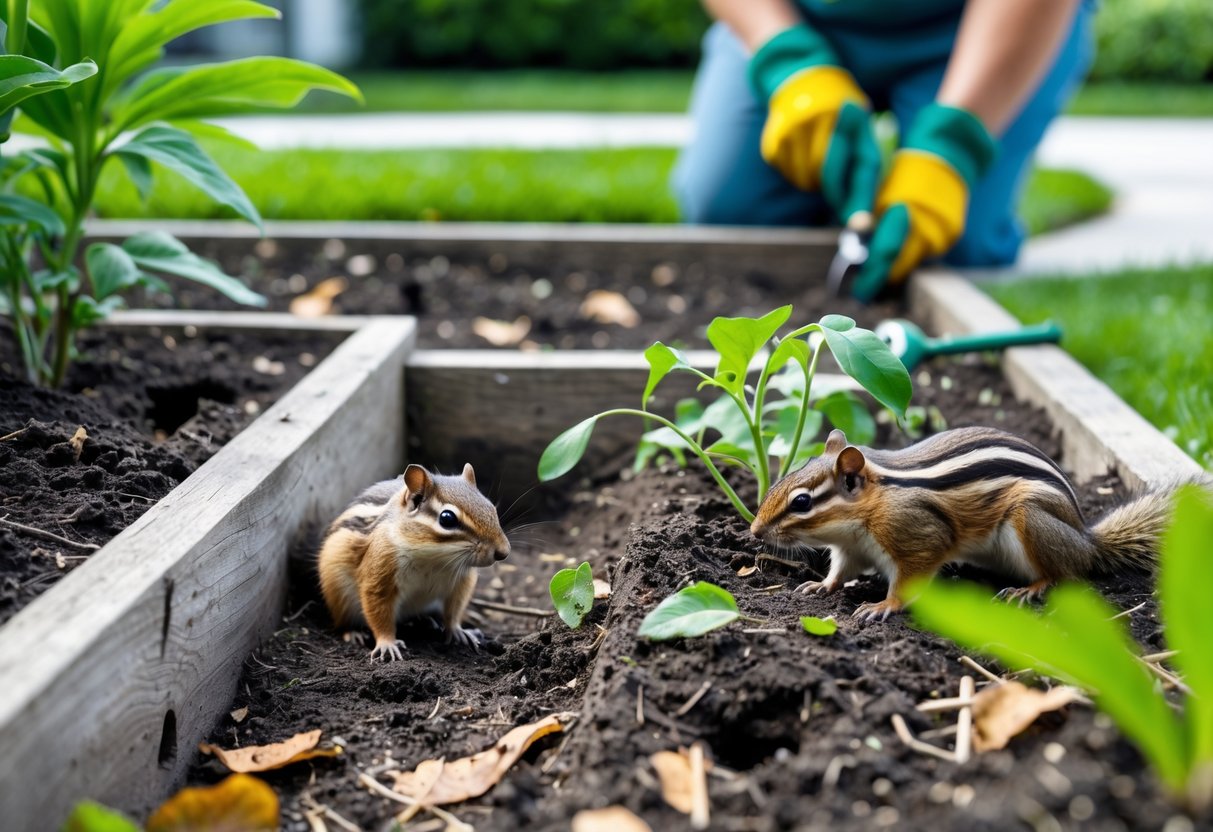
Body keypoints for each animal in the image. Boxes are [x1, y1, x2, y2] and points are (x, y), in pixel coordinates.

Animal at [318, 463, 510, 661]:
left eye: (491, 507)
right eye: (447, 518)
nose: (503, 552)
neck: (434, 559)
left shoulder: (461, 583)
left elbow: (454, 609)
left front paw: (458, 630)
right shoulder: (380, 570)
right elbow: (379, 611)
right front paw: (387, 643)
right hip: (339, 596)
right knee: (343, 622)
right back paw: (353, 632)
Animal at [751, 426, 1177, 622]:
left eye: (802, 502)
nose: (754, 532)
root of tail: (1087, 539)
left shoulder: (918, 537)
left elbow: (907, 581)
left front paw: (882, 605)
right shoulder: (849, 549)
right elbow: (839, 572)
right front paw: (820, 586)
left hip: (1031, 519)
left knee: (1064, 574)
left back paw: (1029, 589)